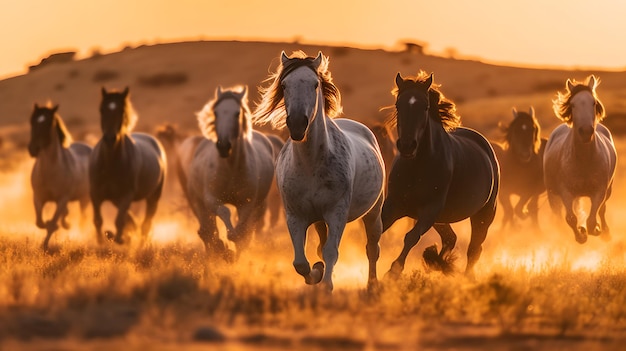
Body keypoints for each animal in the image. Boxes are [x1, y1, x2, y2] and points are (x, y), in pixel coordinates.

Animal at [27, 103, 91, 252]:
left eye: (48, 123)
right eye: (32, 121)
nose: (33, 149)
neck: (50, 171)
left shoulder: (62, 199)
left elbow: (51, 224)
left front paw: (44, 246)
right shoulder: (38, 197)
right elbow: (40, 222)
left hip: (84, 198)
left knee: (83, 219)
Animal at [184, 86, 274, 260]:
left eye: (237, 113)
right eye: (216, 112)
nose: (223, 146)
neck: (231, 168)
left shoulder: (247, 203)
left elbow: (243, 232)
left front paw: (234, 248)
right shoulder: (211, 199)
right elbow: (225, 212)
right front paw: (226, 248)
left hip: (259, 205)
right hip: (198, 202)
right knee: (208, 229)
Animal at [251, 51, 382, 292]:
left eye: (314, 84)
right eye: (284, 85)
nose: (297, 124)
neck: (310, 165)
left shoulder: (337, 213)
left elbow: (331, 251)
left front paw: (327, 285)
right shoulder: (296, 216)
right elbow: (301, 262)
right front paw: (317, 272)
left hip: (373, 213)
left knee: (372, 249)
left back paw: (372, 286)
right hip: (320, 220)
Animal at [380, 73, 498, 280]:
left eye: (425, 107)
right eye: (398, 105)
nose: (407, 146)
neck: (416, 167)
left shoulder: (429, 210)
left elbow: (411, 237)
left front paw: (393, 271)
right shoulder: (394, 205)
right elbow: (377, 230)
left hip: (483, 215)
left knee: (474, 249)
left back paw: (464, 276)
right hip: (441, 219)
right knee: (451, 238)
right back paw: (439, 263)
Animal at [540, 75, 616, 243]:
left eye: (593, 102)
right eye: (573, 104)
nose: (586, 132)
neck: (584, 161)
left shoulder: (599, 192)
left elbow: (592, 219)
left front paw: (595, 230)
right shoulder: (566, 192)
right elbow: (571, 218)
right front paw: (581, 234)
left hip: (608, 191)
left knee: (602, 210)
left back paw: (606, 232)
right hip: (553, 195)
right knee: (559, 216)